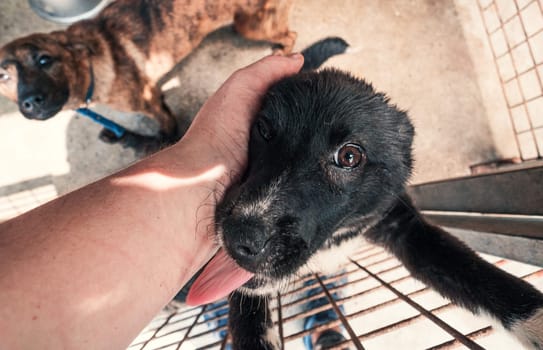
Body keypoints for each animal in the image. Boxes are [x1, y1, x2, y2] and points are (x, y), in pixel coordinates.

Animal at [0, 0, 296, 144]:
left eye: (44, 60)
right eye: (3, 76)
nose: (30, 101)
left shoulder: (150, 100)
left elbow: (165, 126)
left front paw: (164, 140)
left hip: (252, 25)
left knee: (290, 35)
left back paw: (283, 53)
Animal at [190, 69, 543, 348]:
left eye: (349, 157)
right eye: (263, 129)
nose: (239, 237)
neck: (333, 241)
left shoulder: (402, 224)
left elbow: (476, 273)